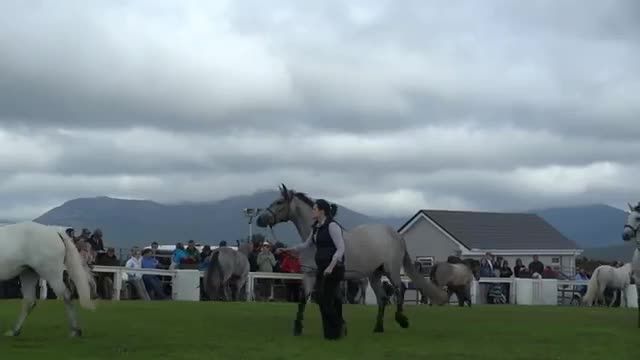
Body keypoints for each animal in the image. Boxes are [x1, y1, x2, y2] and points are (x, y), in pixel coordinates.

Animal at [252, 184, 448, 336]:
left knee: (400, 290)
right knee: (382, 298)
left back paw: (401, 320)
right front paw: (299, 328)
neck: (315, 241)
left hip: (391, 270)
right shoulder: (311, 275)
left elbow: (330, 300)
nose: (260, 219)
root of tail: (396, 235)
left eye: (279, 202)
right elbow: (305, 299)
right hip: (374, 275)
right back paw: (378, 328)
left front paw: (338, 327)